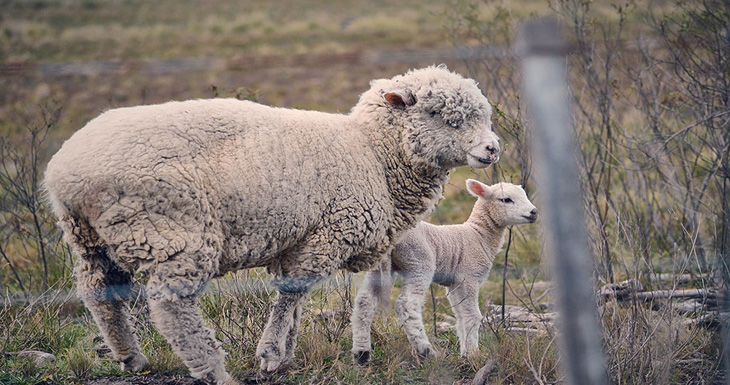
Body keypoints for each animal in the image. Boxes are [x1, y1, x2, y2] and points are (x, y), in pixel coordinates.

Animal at [42, 64, 498, 382]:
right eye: (441, 115)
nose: (493, 149)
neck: (372, 152)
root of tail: (66, 171)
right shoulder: (327, 235)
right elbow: (292, 293)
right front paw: (269, 355)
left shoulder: (297, 239)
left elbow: (293, 301)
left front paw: (285, 353)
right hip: (172, 231)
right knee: (171, 304)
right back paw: (212, 369)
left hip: (89, 237)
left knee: (98, 292)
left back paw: (130, 357)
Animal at [346, 178, 536, 362]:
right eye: (506, 199)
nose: (534, 212)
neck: (478, 235)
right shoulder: (469, 277)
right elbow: (473, 316)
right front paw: (474, 354)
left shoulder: (455, 284)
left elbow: (460, 317)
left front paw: (465, 352)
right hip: (419, 262)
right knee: (406, 304)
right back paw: (426, 351)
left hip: (379, 265)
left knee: (365, 302)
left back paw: (361, 354)